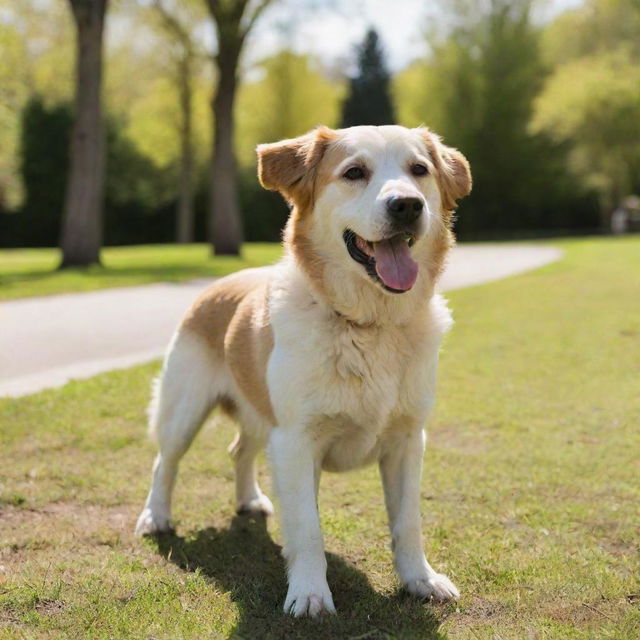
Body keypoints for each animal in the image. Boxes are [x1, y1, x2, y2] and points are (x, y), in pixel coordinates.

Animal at [135, 124, 472, 616]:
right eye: (354, 172)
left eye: (419, 170)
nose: (408, 205)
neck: (367, 324)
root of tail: (220, 282)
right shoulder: (296, 441)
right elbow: (308, 528)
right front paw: (310, 593)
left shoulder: (408, 439)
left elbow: (408, 521)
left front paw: (420, 580)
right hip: (185, 408)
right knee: (166, 461)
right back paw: (155, 516)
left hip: (259, 415)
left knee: (239, 450)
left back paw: (249, 500)